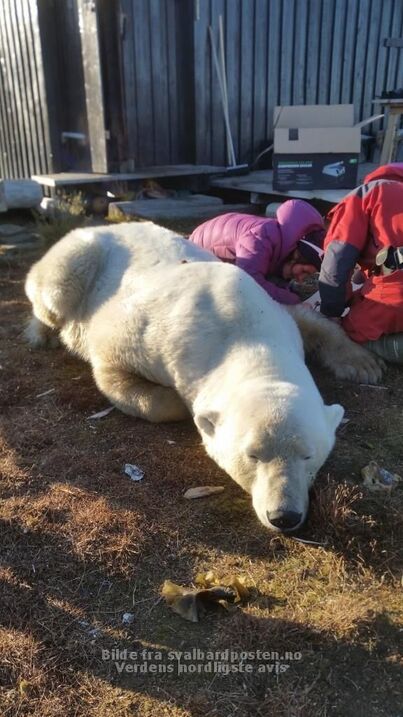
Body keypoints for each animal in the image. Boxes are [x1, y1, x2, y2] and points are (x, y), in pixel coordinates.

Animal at [25, 224, 386, 532]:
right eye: (252, 455)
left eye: (309, 455)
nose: (284, 516)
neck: (238, 329)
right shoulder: (141, 333)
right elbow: (112, 368)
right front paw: (176, 403)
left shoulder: (276, 314)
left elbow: (309, 319)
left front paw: (365, 365)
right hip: (79, 257)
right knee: (53, 295)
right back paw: (43, 332)